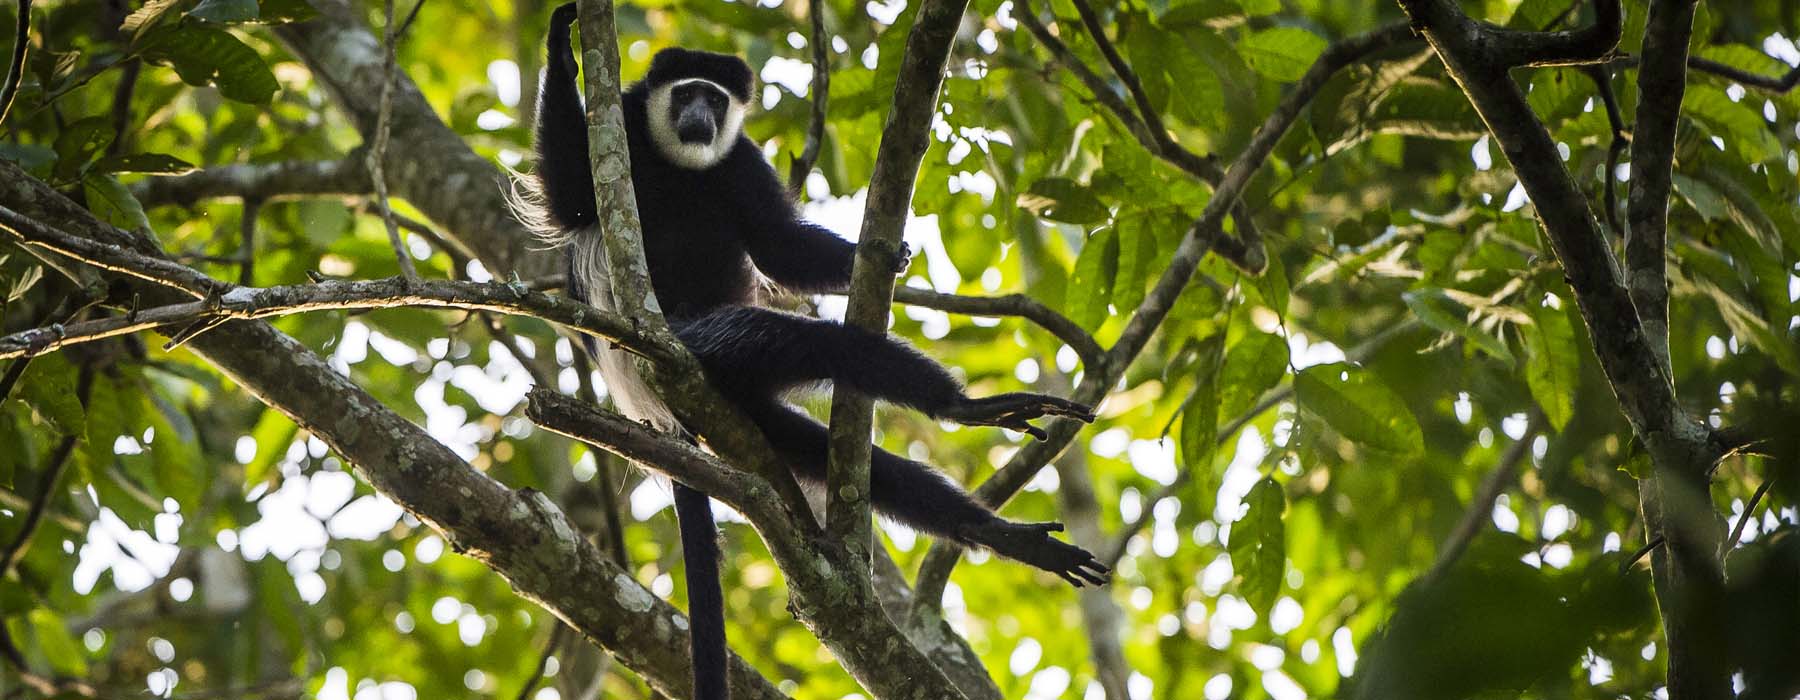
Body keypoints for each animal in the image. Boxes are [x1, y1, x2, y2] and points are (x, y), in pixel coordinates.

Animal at [522, 4, 1101, 691]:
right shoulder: (622, 133)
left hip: (752, 410)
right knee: (819, 346)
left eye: (716, 100)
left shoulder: (740, 160)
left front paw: (878, 258)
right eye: (687, 94)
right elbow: (568, 196)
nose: (701, 118)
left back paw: (997, 531)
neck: (680, 162)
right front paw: (561, 45)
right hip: (698, 347)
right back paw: (964, 407)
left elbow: (777, 246)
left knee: (858, 464)